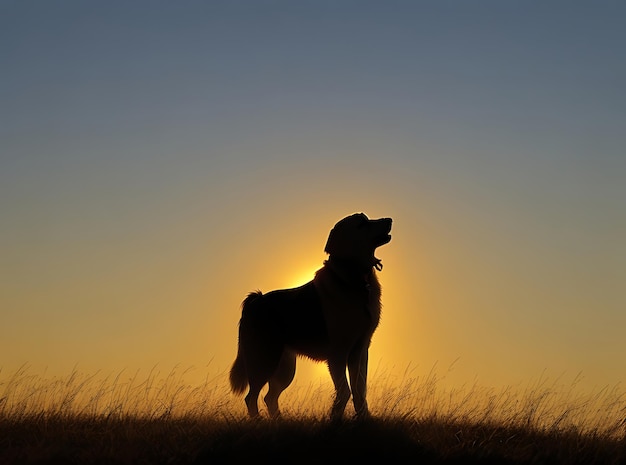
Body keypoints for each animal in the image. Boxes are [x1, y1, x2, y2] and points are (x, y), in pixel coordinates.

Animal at [229, 212, 390, 418]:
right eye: (361, 223)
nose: (390, 220)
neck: (355, 279)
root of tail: (255, 300)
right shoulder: (338, 353)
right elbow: (345, 390)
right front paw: (335, 417)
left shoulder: (360, 350)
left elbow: (359, 390)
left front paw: (363, 418)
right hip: (265, 360)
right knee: (251, 397)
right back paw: (259, 422)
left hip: (285, 368)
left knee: (269, 397)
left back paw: (279, 422)